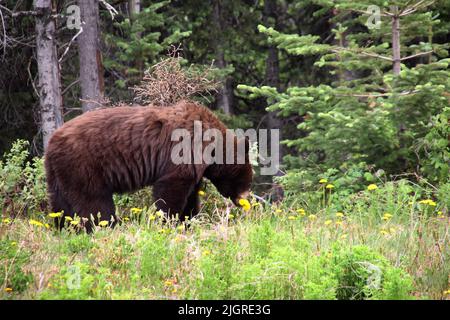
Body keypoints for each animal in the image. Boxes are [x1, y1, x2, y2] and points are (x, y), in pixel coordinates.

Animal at [45, 100, 253, 230]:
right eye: (247, 178)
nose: (245, 199)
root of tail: (52, 141)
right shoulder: (184, 153)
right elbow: (170, 190)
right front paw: (169, 222)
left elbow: (191, 196)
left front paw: (187, 222)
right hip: (84, 166)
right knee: (94, 203)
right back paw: (106, 227)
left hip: (59, 172)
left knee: (61, 204)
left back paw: (63, 228)